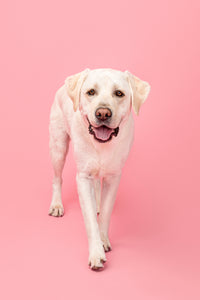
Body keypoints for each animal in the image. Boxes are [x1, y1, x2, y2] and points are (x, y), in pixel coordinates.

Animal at [49, 68, 151, 270]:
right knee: (57, 178)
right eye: (91, 92)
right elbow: (90, 220)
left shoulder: (114, 177)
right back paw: (56, 205)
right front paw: (96, 253)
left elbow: (105, 213)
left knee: (97, 184)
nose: (103, 113)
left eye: (119, 93)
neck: (102, 145)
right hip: (58, 147)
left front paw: (103, 240)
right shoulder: (83, 178)